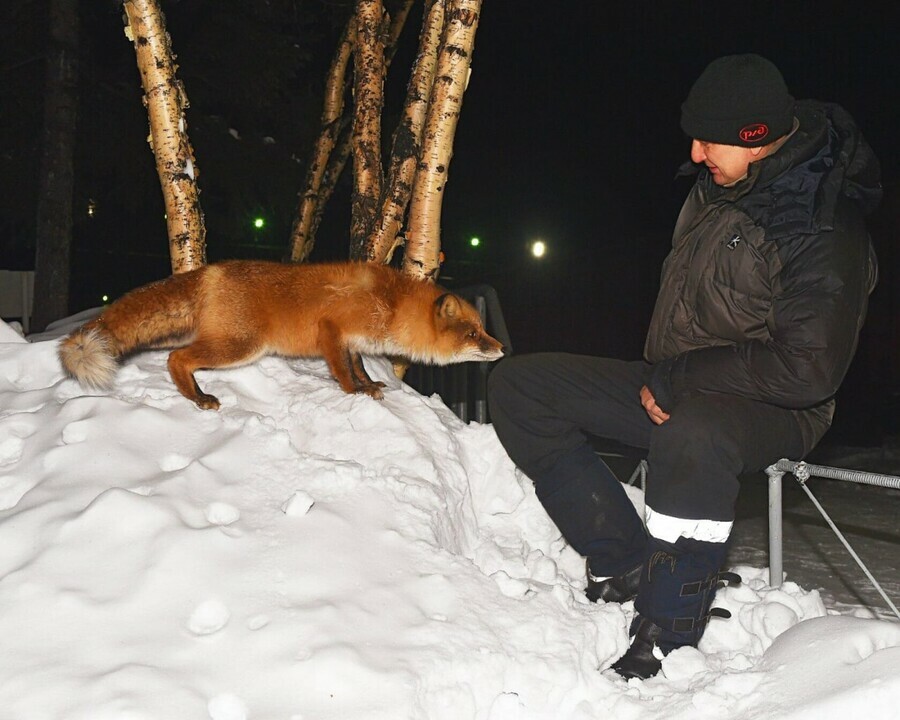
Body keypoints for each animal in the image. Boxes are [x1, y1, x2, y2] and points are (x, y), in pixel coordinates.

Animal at [57, 258, 506, 408]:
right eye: (472, 334)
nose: (501, 348)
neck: (390, 303)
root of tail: (211, 270)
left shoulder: (354, 341)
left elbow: (359, 366)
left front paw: (370, 385)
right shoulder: (331, 330)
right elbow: (343, 372)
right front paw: (354, 394)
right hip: (239, 346)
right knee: (176, 358)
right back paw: (199, 398)